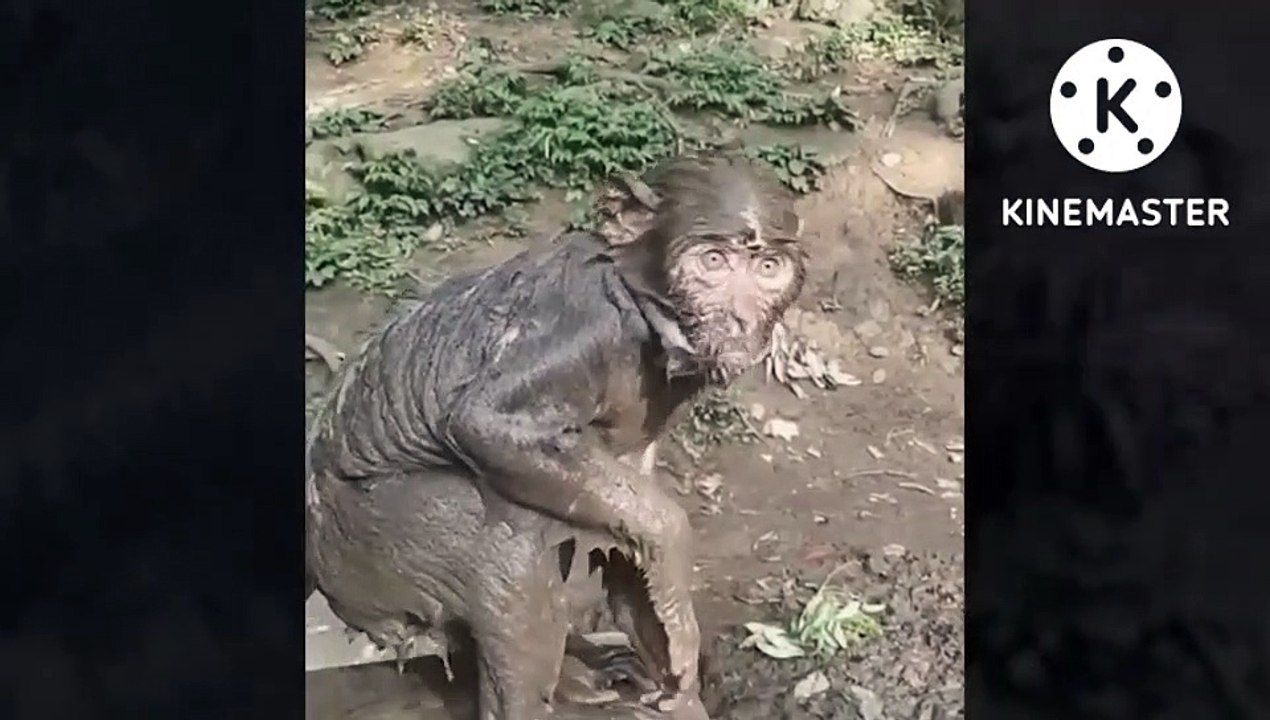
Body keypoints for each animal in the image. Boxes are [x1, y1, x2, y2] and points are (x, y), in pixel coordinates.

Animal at [305, 153, 807, 719]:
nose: (740, 318)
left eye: (768, 269)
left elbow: (628, 519)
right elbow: (487, 422)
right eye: (714, 261)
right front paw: (674, 575)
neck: (642, 302)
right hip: (365, 539)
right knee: (509, 548)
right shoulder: (587, 331)